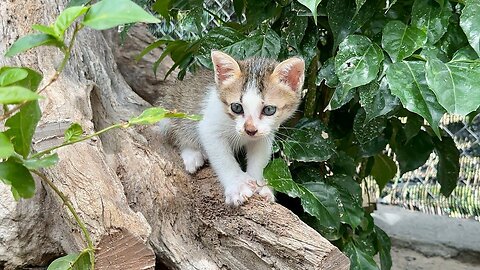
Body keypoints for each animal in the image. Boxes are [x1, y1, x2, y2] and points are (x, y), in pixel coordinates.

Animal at [159, 50, 306, 206]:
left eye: (269, 110)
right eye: (236, 107)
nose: (250, 130)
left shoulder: (265, 134)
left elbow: (260, 157)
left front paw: (261, 186)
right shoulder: (209, 127)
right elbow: (224, 160)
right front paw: (237, 186)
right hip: (169, 111)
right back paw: (192, 154)